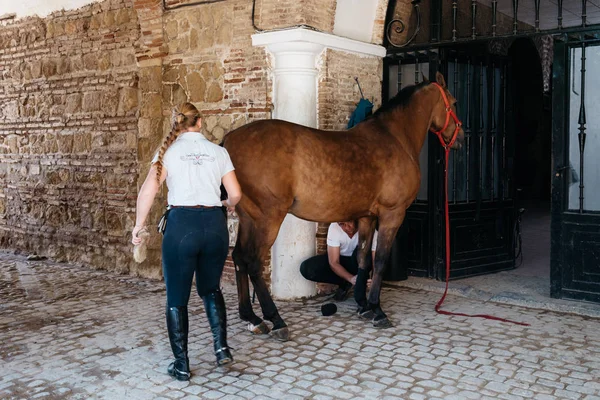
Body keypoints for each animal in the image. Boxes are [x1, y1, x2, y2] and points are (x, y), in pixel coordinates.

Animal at [223, 72, 462, 340]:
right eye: (454, 103)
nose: (462, 139)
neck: (396, 138)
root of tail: (230, 141)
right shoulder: (392, 214)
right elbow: (380, 261)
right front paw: (377, 310)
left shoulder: (367, 216)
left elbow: (363, 259)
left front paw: (364, 305)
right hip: (268, 217)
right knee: (253, 262)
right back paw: (276, 320)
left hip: (248, 217)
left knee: (239, 258)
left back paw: (251, 318)